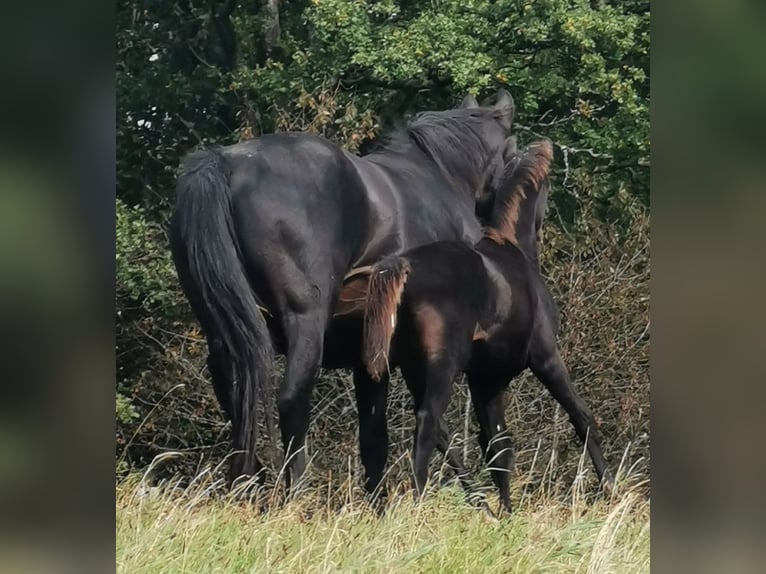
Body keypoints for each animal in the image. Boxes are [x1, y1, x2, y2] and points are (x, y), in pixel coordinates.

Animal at [169, 90, 516, 496]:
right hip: (305, 322)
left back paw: (247, 484)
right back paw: (295, 492)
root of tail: (226, 162)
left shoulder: (370, 354)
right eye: (511, 151)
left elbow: (377, 436)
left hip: (226, 332)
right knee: (291, 400)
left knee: (238, 397)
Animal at [364, 141, 616, 516]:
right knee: (427, 424)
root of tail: (405, 267)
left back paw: (478, 503)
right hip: (442, 367)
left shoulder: (486, 378)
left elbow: (497, 445)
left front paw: (507, 513)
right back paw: (421, 504)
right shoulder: (545, 358)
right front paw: (611, 488)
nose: (543, 226)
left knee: (441, 433)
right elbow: (581, 419)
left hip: (415, 370)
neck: (512, 249)